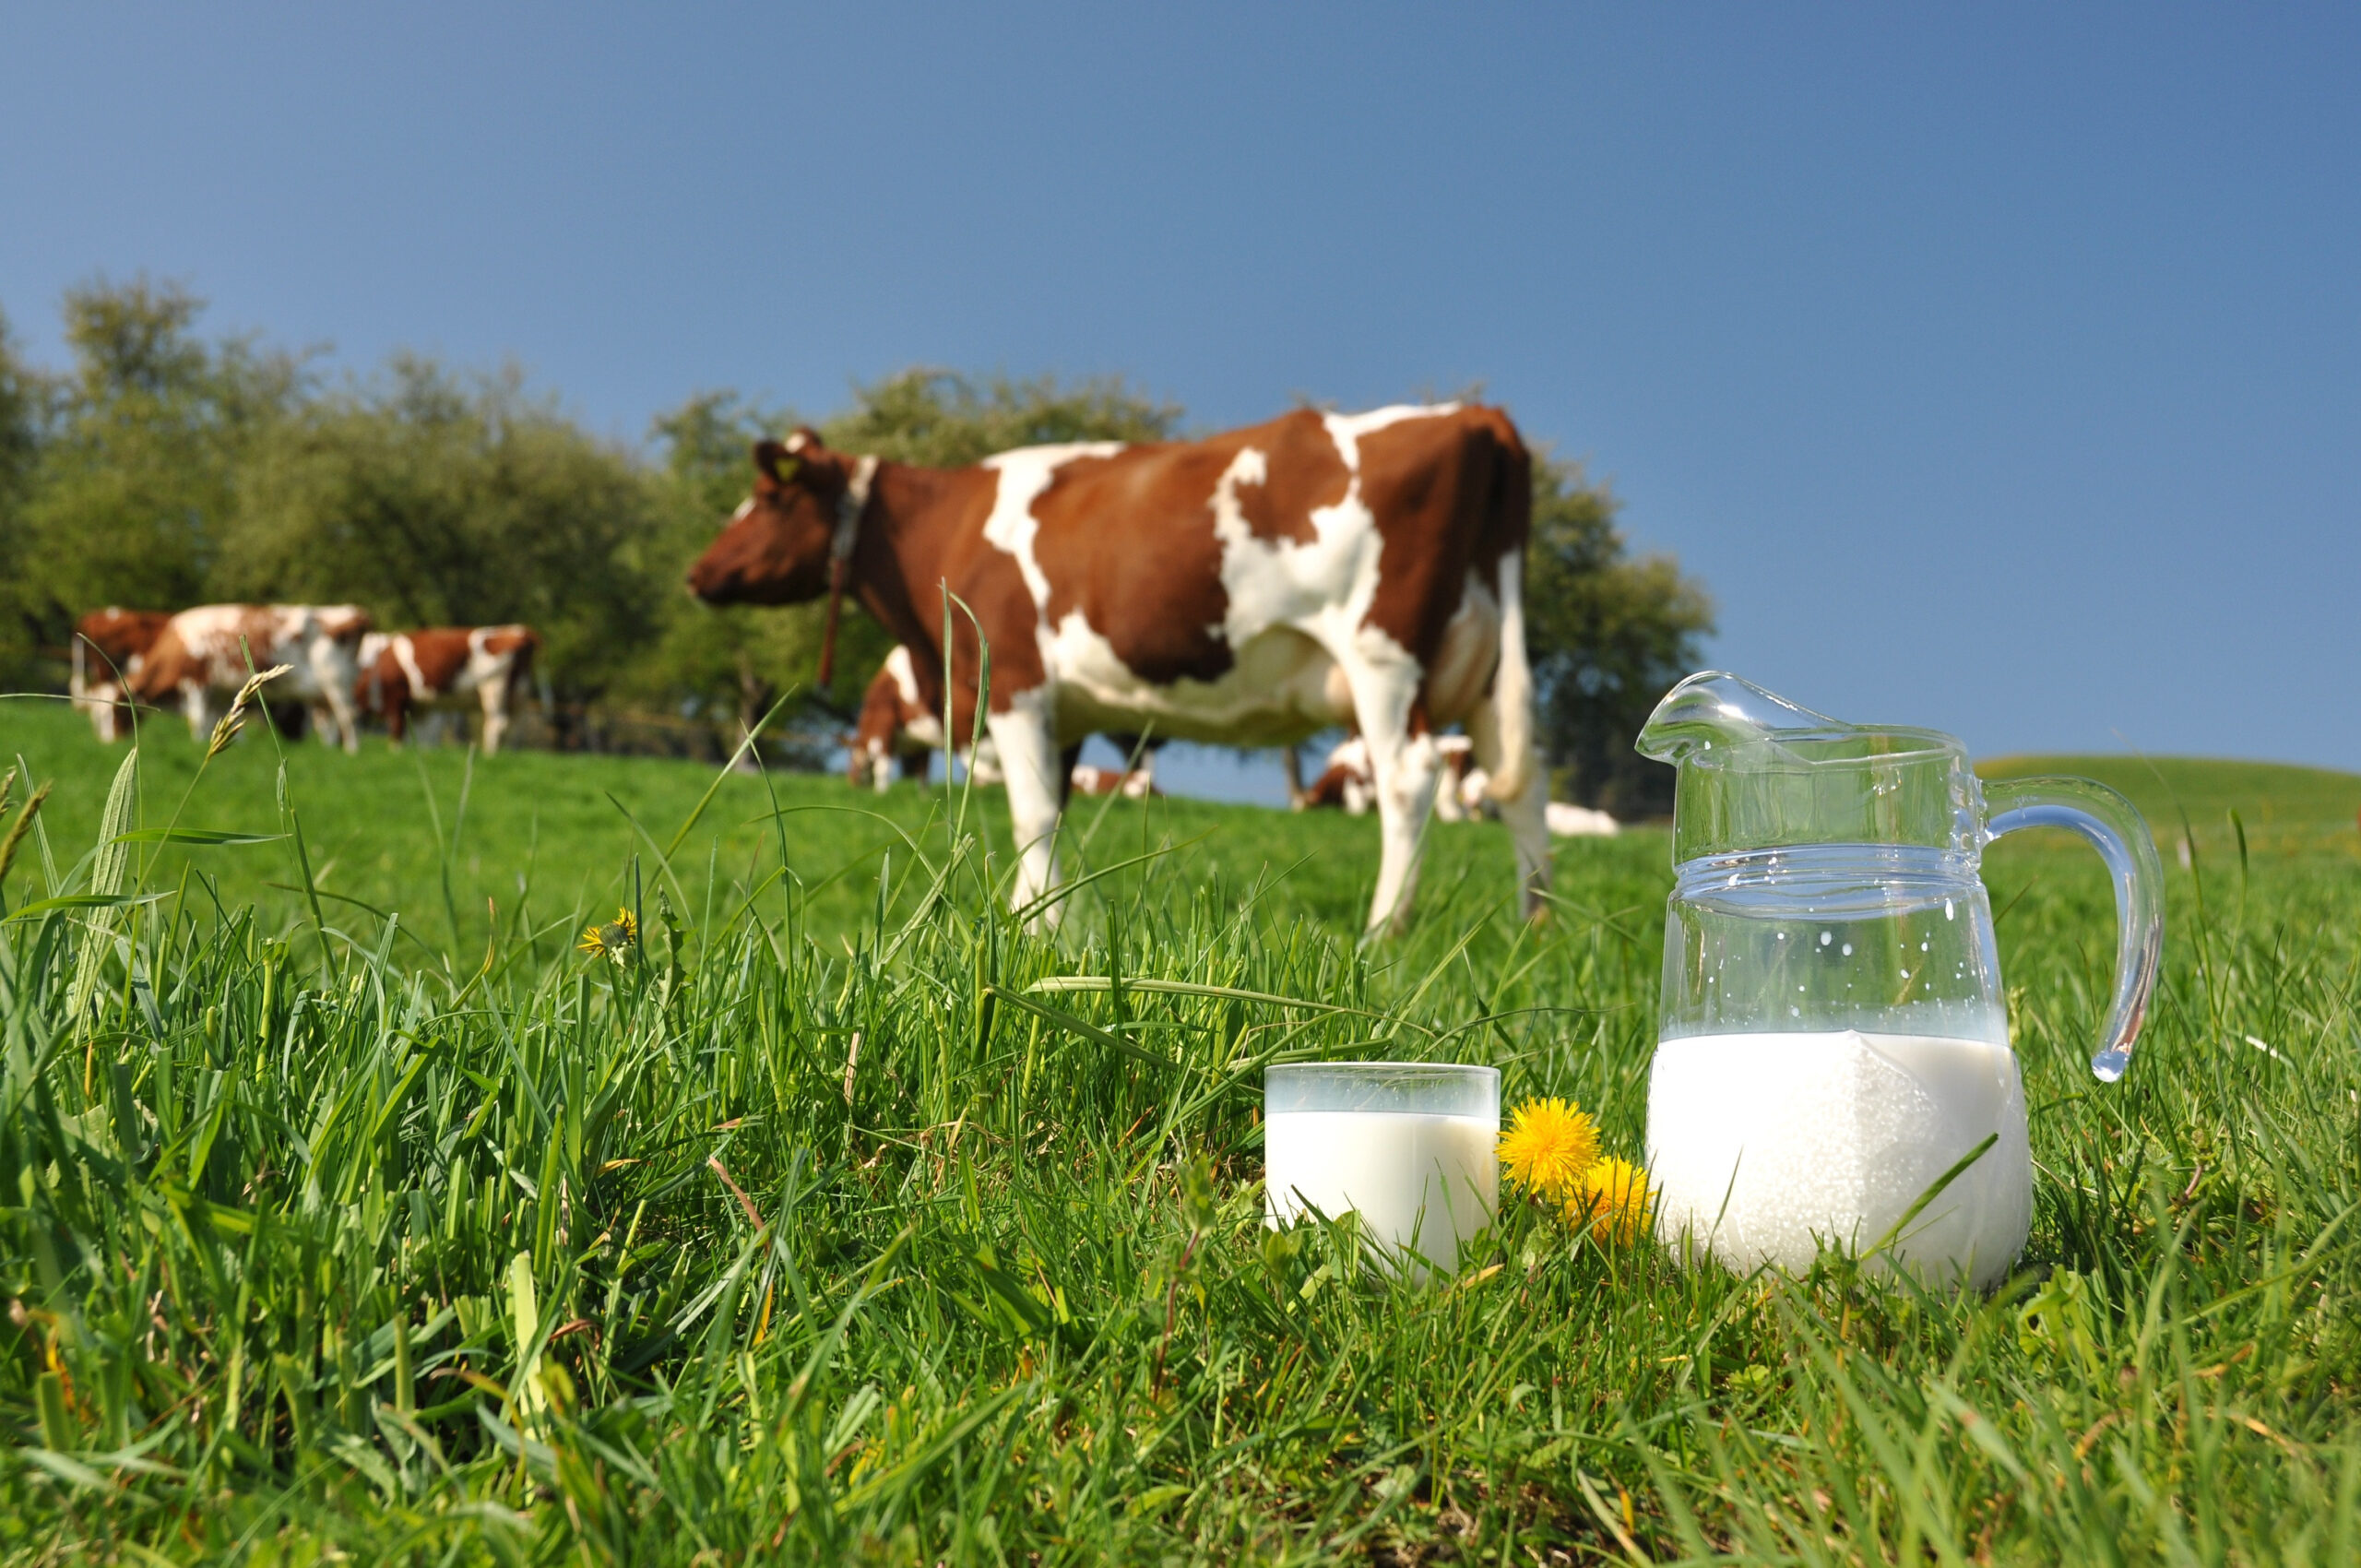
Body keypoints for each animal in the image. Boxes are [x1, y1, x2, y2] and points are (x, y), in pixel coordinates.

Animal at [133, 604, 370, 755]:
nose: (115, 741)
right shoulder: (219, 691)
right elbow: (219, 718)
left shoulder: (198, 682)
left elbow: (198, 718)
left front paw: (198, 744)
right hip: (323, 694)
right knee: (330, 722)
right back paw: (331, 749)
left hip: (338, 682)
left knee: (348, 716)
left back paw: (352, 751)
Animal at [359, 623, 540, 755]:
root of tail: (520, 632)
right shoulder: (420, 708)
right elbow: (422, 734)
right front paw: (422, 752)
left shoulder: (396, 697)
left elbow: (397, 727)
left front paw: (395, 753)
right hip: (520, 693)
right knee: (518, 725)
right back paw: (511, 753)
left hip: (494, 688)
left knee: (498, 723)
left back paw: (489, 755)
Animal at [689, 401, 1548, 930]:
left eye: (769, 500)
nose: (698, 573)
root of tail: (1473, 413)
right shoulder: (1062, 711)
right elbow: (1053, 811)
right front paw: (1033, 920)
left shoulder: (1014, 682)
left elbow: (1032, 815)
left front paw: (1041, 925)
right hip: (1486, 665)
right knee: (1522, 785)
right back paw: (1534, 925)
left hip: (1382, 657)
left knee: (1410, 779)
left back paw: (1382, 932)